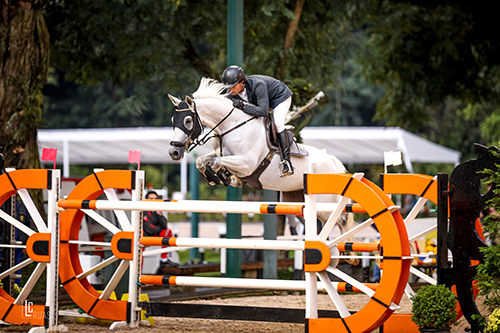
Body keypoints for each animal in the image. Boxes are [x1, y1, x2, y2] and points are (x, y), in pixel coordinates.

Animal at [167, 78, 344, 223]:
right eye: (172, 120)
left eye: (188, 121)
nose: (173, 152)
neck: (231, 126)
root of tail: (334, 163)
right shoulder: (221, 154)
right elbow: (201, 161)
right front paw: (215, 177)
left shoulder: (246, 163)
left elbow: (217, 162)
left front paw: (221, 175)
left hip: (324, 208)